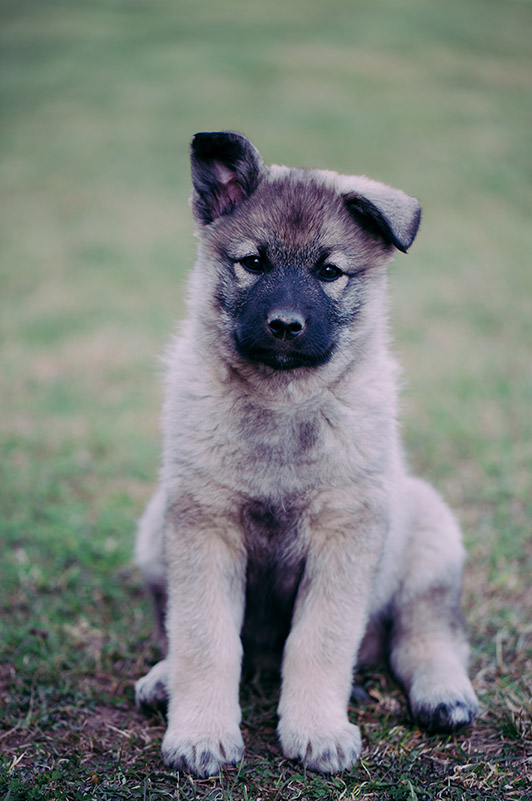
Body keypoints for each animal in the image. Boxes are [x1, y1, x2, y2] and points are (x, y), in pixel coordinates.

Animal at [134, 131, 478, 776]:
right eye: (253, 263)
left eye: (329, 272)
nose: (285, 326)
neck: (283, 400)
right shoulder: (203, 524)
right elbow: (204, 638)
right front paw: (201, 733)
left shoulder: (345, 533)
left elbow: (320, 642)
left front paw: (316, 730)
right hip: (154, 531)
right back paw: (165, 679)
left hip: (430, 535)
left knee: (425, 632)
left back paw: (444, 694)